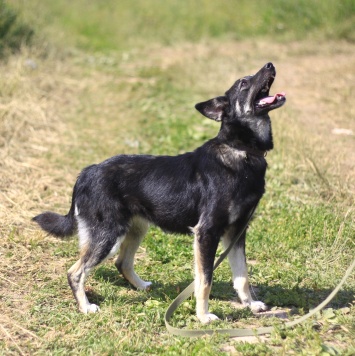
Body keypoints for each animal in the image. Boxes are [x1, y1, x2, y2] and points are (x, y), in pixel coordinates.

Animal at [32, 62, 286, 324]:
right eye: (244, 83)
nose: (270, 64)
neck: (241, 150)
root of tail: (86, 173)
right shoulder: (206, 233)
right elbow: (204, 280)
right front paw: (203, 316)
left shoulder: (236, 232)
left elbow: (242, 276)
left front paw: (251, 305)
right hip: (107, 236)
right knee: (75, 272)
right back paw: (86, 307)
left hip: (136, 228)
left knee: (121, 262)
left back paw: (142, 287)